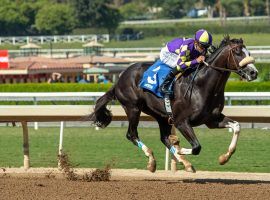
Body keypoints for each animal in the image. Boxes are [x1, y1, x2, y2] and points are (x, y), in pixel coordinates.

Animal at [88, 35, 258, 172]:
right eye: (237, 52)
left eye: (249, 53)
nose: (254, 72)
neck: (201, 85)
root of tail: (120, 78)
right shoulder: (182, 121)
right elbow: (196, 147)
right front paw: (180, 148)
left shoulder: (211, 120)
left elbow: (237, 126)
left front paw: (224, 157)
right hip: (133, 108)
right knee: (132, 134)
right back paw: (152, 161)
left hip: (160, 115)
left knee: (163, 138)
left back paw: (185, 163)